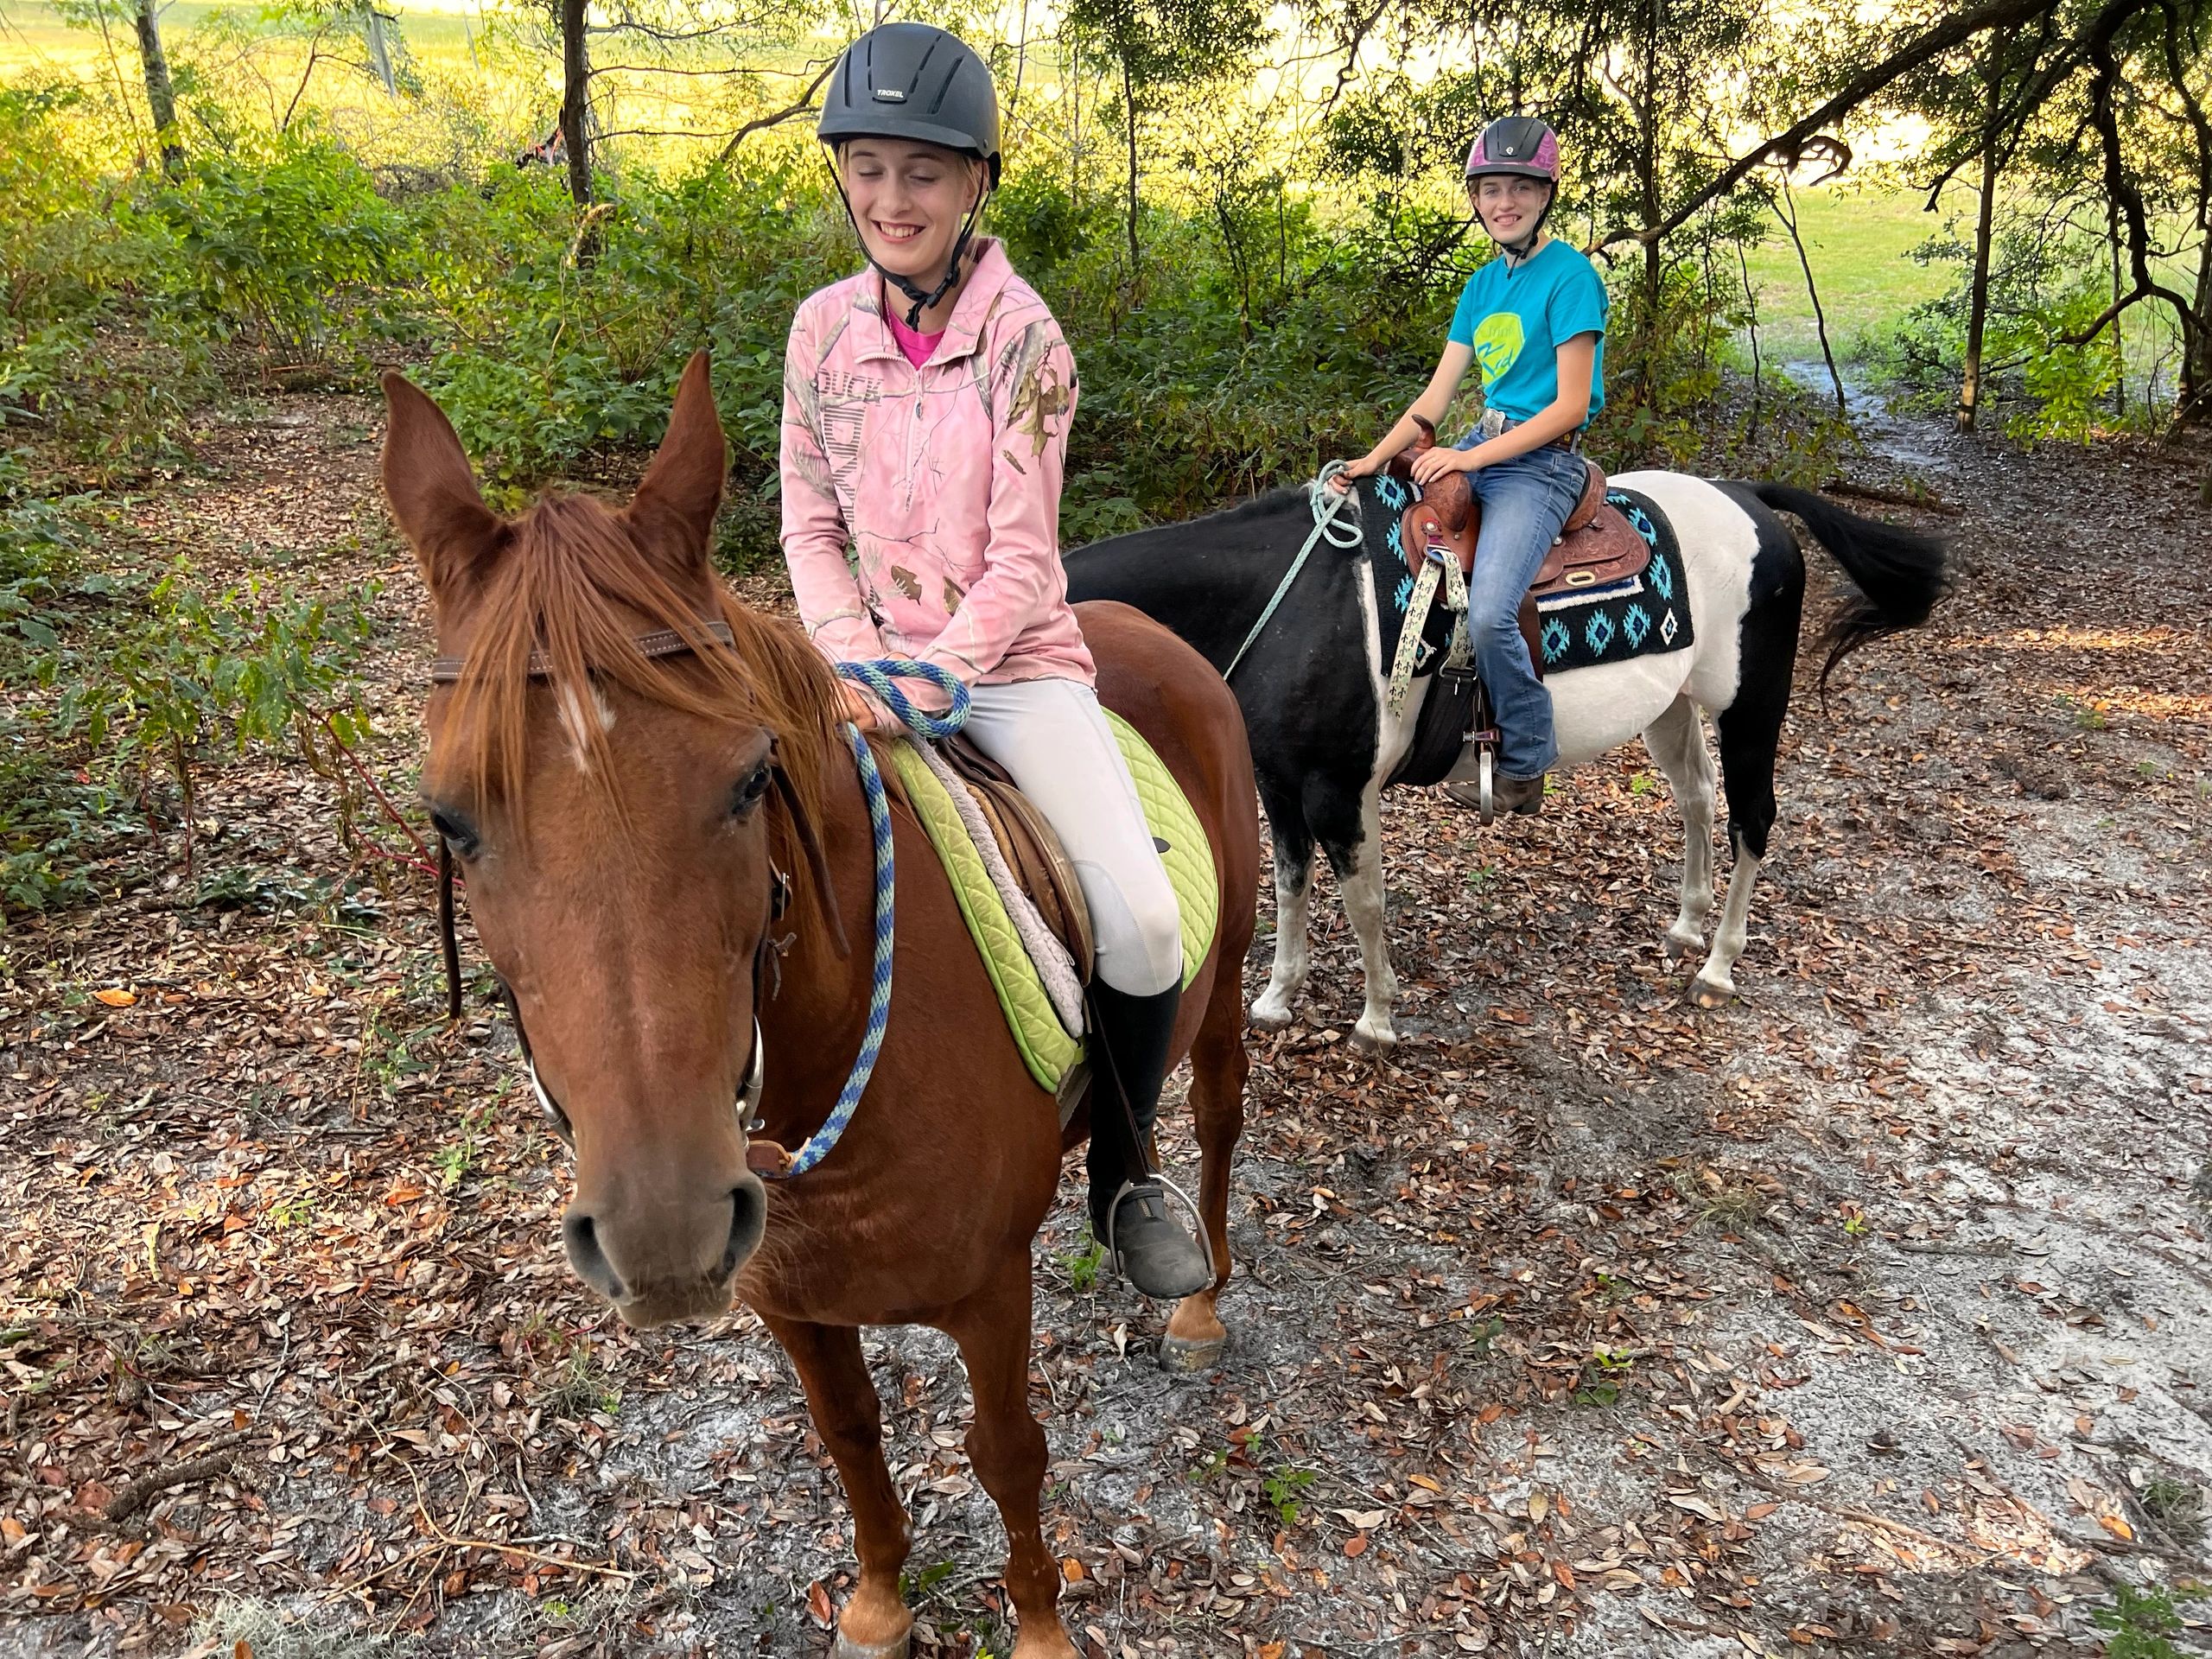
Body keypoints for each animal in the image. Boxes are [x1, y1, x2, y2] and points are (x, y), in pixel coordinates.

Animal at [381, 353, 1260, 1659]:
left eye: (751, 780)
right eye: (449, 818)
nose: (663, 1230)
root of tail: (1143, 630)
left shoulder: (989, 1296)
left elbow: (1008, 1453)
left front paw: (1039, 1629)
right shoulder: (792, 1304)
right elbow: (850, 1440)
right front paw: (880, 1604)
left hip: (1226, 979)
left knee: (1213, 1116)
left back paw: (1194, 1295)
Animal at [1065, 470, 1947, 1044]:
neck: (1299, 609)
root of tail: (1754, 502)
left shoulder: (1340, 791)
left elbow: (1366, 903)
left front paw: (1376, 1017)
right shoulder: (1280, 784)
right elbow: (1289, 888)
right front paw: (1280, 997)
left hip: (1752, 703)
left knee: (1753, 818)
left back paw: (1721, 964)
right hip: (1670, 705)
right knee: (1698, 800)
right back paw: (1687, 926)